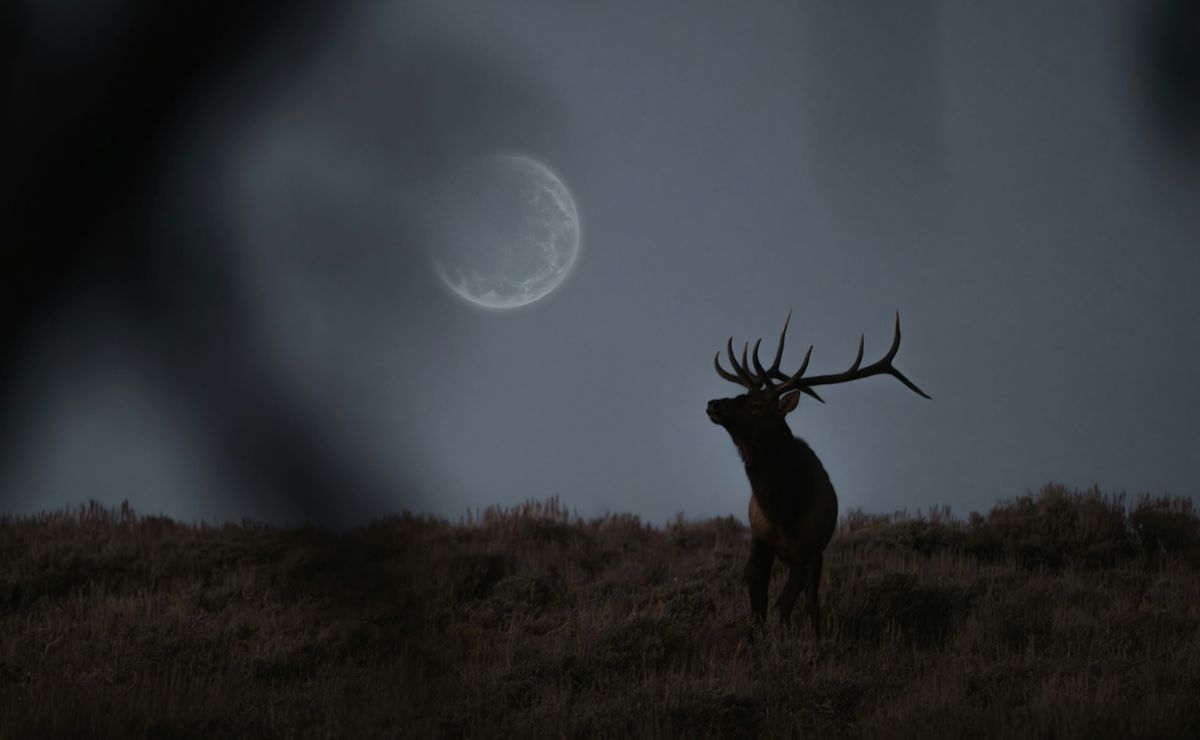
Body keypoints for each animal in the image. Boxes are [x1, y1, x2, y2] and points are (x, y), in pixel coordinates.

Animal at [706, 311, 930, 635]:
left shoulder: (809, 549)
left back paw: (815, 633)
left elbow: (787, 604)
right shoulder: (760, 540)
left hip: (818, 553)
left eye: (757, 405)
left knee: (810, 601)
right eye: (740, 394)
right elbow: (758, 603)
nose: (713, 404)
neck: (785, 509)